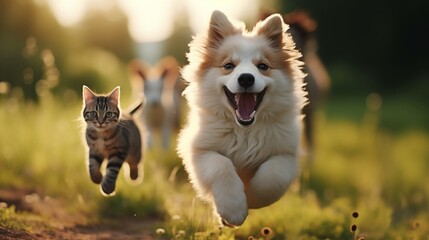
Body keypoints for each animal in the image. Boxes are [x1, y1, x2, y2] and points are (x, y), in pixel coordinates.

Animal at [176, 9, 306, 227]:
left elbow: (272, 176)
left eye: (263, 66)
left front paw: (251, 197)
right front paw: (233, 210)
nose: (246, 78)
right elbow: (222, 166)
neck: (245, 130)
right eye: (229, 65)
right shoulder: (200, 149)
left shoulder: (286, 153)